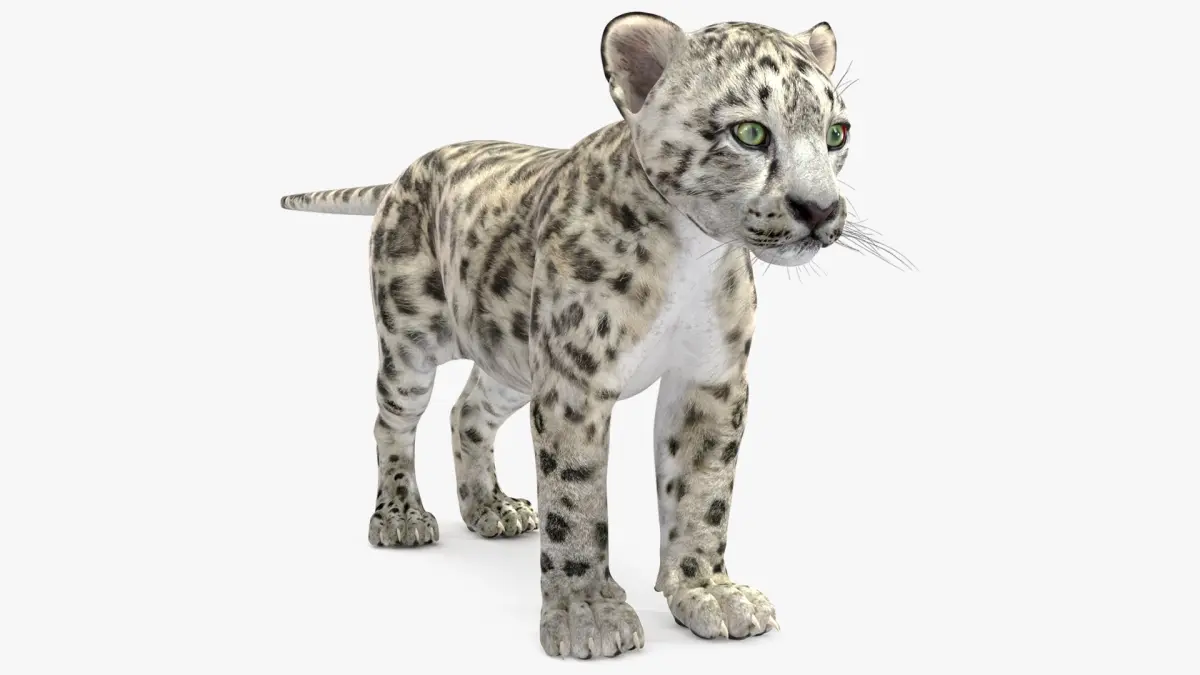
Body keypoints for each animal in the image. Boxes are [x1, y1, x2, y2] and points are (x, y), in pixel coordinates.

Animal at [281, 12, 855, 659]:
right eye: (751, 134)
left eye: (836, 134)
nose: (822, 209)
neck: (692, 255)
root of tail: (403, 174)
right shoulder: (575, 382)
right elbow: (577, 498)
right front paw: (588, 614)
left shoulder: (711, 380)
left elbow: (705, 491)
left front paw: (709, 592)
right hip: (409, 341)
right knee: (393, 423)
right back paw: (402, 516)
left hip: (511, 357)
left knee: (467, 412)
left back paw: (490, 508)